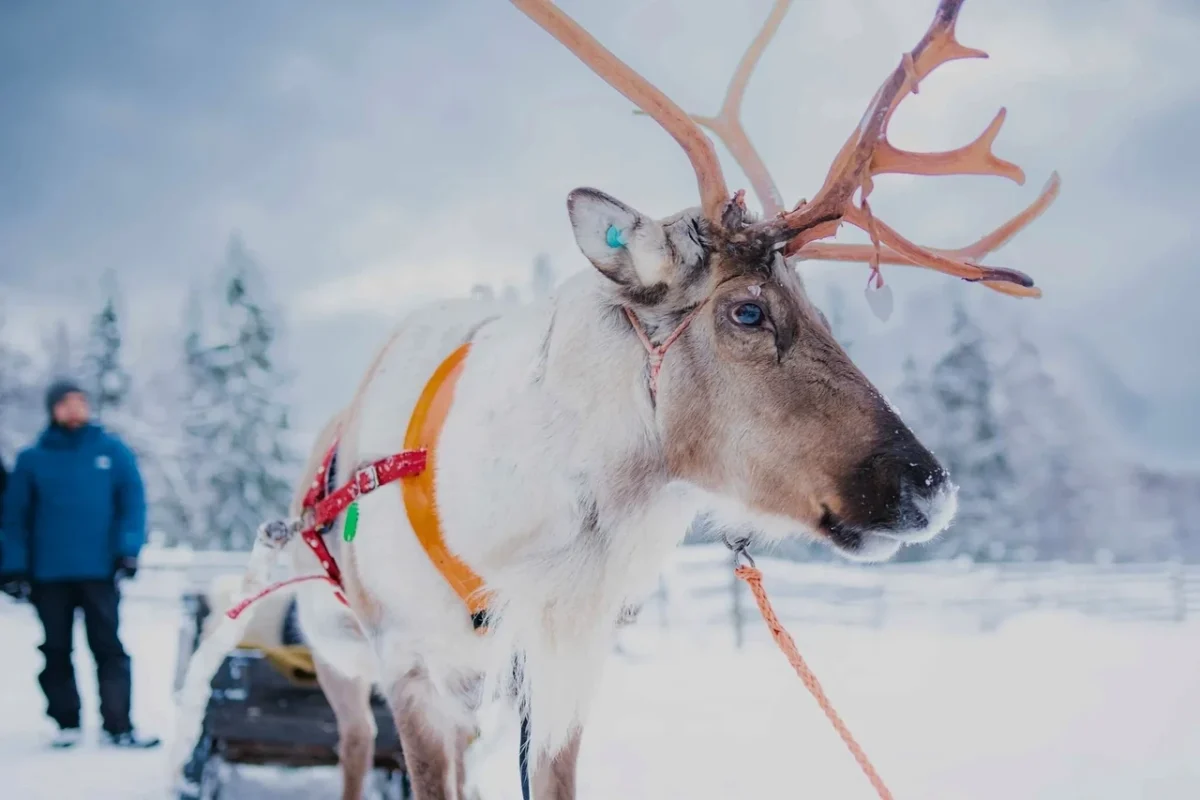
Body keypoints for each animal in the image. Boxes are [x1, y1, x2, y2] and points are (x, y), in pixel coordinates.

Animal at [170, 0, 1060, 798]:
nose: (931, 487)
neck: (514, 535)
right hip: (338, 658)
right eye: (748, 311)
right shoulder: (411, 665)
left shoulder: (558, 659)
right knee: (354, 748)